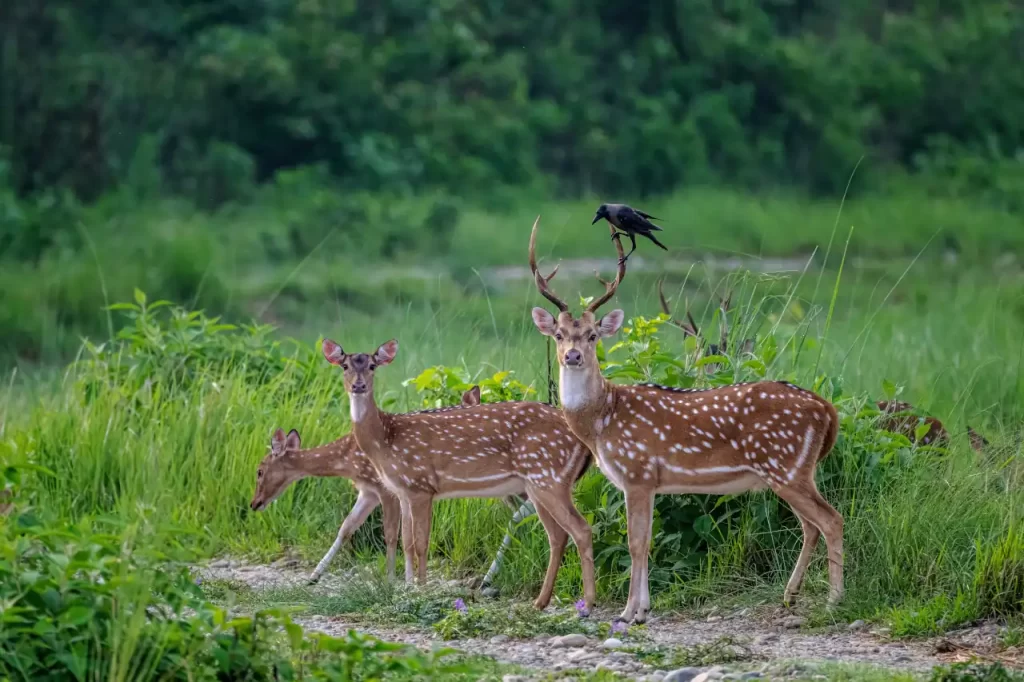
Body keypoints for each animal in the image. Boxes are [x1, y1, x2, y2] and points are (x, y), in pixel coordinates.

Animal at [250, 387, 483, 584]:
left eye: (259, 471)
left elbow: (391, 535)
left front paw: (393, 580)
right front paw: (313, 576)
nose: (254, 503)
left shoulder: (385, 489)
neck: (348, 459)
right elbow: (346, 527)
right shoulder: (368, 491)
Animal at [320, 337, 598, 614]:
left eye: (372, 366)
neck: (386, 440)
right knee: (558, 535)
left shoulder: (421, 486)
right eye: (344, 366)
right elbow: (406, 542)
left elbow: (421, 543)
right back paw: (540, 602)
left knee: (581, 528)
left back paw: (587, 604)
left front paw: (421, 589)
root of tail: (583, 440)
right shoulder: (403, 491)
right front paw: (408, 587)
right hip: (539, 484)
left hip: (548, 477)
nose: (358, 385)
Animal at [528, 216, 844, 624]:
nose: (572, 356)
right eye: (559, 334)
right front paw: (643, 609)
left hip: (786, 466)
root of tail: (827, 409)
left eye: (593, 335)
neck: (601, 421)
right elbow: (646, 541)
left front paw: (628, 612)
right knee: (811, 525)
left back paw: (834, 600)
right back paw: (790, 596)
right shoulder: (649, 482)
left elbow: (636, 542)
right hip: (796, 470)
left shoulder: (638, 472)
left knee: (830, 520)